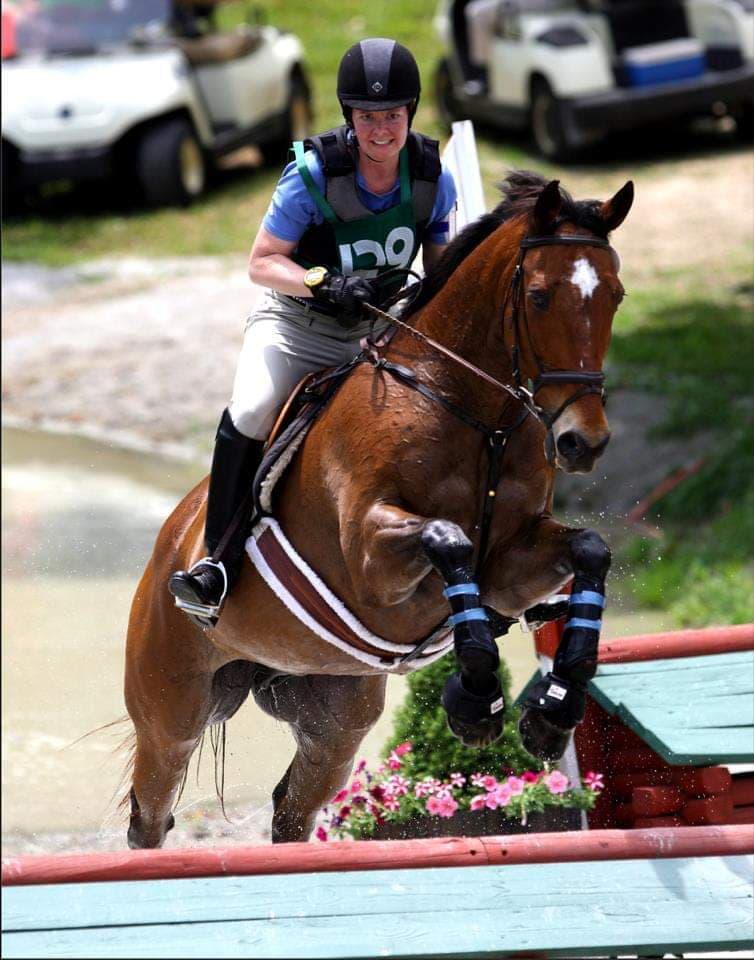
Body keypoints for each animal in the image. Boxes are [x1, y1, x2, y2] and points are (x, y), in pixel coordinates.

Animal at [123, 172, 628, 848]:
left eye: (616, 296)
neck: (470, 407)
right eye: (541, 296)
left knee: (292, 809)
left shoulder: (510, 565)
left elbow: (589, 549)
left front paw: (553, 709)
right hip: (171, 708)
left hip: (335, 717)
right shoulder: (371, 560)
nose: (582, 442)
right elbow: (447, 539)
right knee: (150, 813)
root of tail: (169, 546)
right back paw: (202, 584)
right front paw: (475, 701)